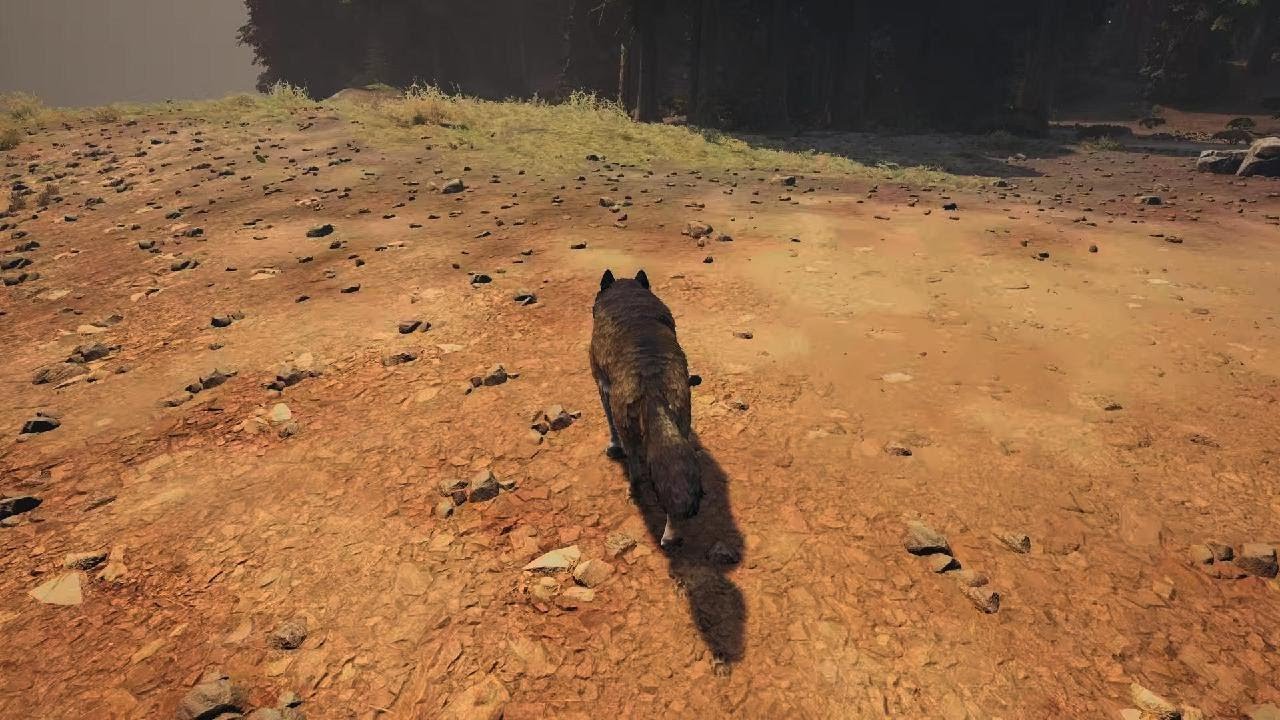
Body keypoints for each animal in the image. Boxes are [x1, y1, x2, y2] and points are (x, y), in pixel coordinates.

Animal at [590, 269, 702, 548]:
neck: (627, 293)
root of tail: (651, 382)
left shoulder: (601, 385)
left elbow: (609, 423)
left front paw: (612, 447)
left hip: (629, 429)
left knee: (637, 470)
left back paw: (634, 492)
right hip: (681, 417)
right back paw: (672, 535)